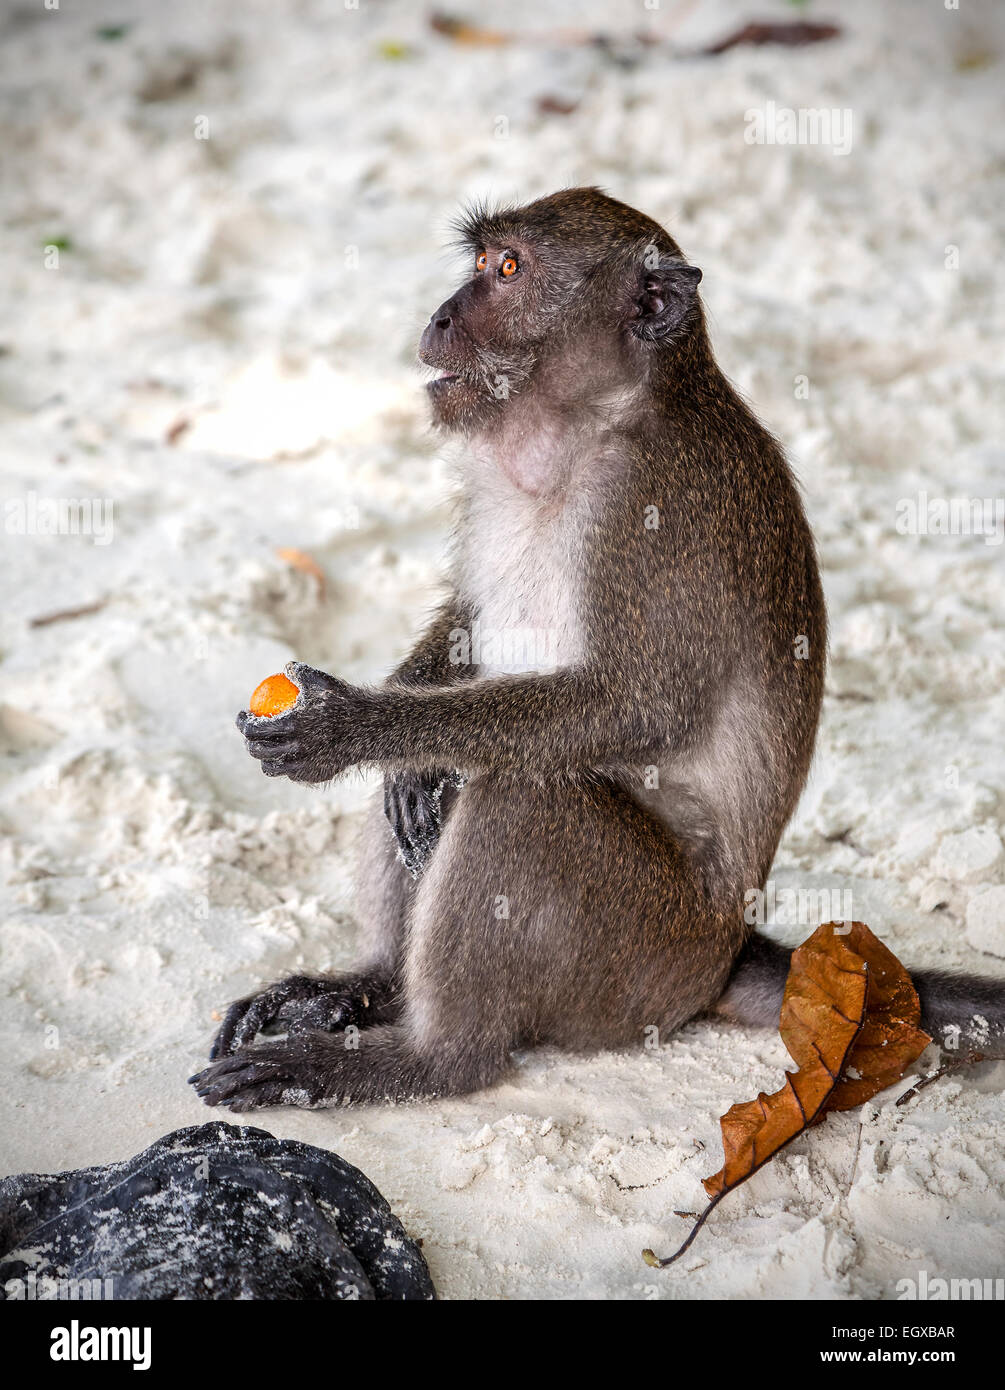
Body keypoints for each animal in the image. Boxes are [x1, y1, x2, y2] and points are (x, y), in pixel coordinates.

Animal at [190, 188, 1005, 1112]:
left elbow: (635, 707)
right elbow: (466, 628)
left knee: (521, 795)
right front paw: (404, 741)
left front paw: (359, 726)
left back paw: (424, 1058)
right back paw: (370, 986)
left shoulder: (653, 509)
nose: (439, 316)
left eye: (508, 270)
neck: (585, 426)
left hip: (641, 956)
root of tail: (729, 949)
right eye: (480, 263)